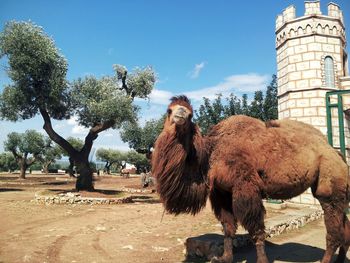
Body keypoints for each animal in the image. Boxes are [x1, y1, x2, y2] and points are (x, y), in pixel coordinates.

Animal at [152, 95, 350, 263]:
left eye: (191, 114)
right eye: (169, 110)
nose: (180, 114)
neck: (211, 156)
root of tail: (337, 154)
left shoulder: (245, 186)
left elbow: (256, 228)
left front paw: (261, 260)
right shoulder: (222, 192)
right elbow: (228, 227)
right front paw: (224, 258)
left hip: (330, 183)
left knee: (333, 230)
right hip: (338, 191)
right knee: (344, 227)